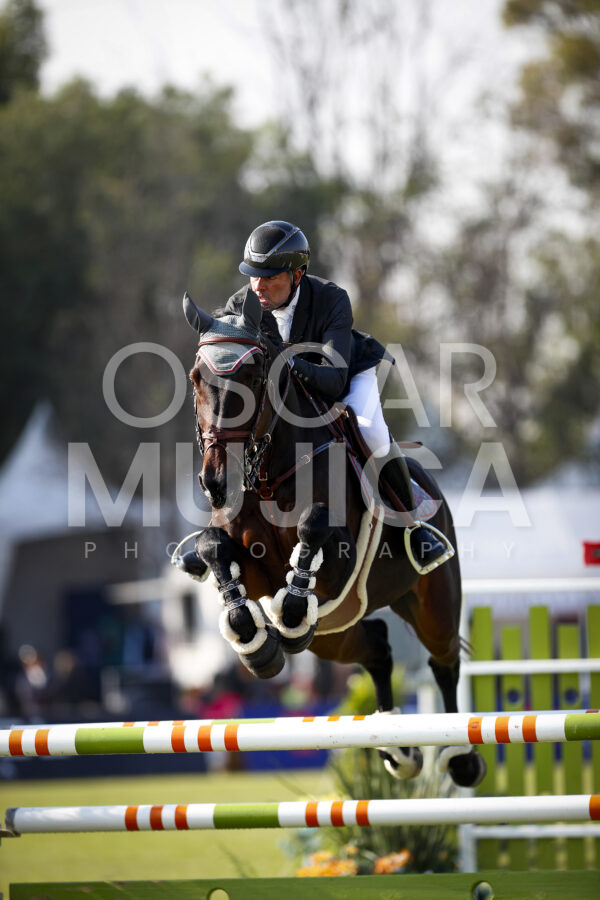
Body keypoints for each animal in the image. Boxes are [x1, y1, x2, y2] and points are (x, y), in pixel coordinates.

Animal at [175, 289, 486, 788]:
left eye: (252, 375)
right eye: (195, 378)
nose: (216, 482)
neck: (268, 475)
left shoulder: (340, 559)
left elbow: (313, 526)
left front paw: (288, 610)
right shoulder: (254, 569)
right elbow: (213, 546)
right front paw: (253, 637)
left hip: (431, 601)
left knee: (443, 661)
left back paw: (460, 755)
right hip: (334, 632)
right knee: (376, 645)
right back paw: (398, 749)